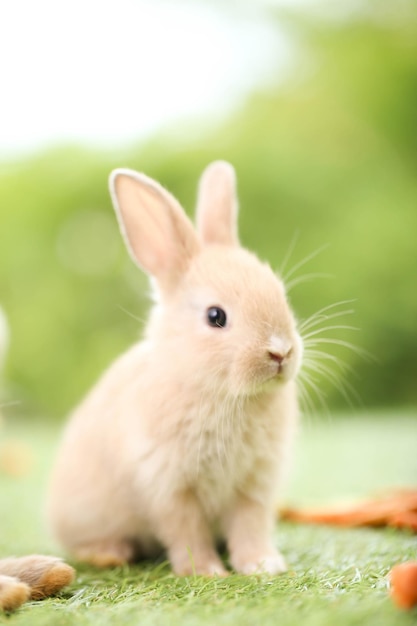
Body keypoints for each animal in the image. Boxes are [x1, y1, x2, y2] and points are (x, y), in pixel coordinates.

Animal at [48, 161, 302, 576]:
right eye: (216, 316)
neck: (216, 389)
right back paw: (111, 553)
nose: (280, 352)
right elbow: (187, 532)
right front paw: (207, 572)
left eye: (281, 294)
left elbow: (250, 526)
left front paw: (262, 565)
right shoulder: (170, 487)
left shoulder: (253, 484)